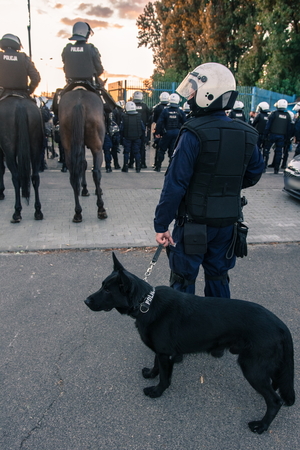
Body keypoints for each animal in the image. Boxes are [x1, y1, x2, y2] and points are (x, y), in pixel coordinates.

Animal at [58, 85, 107, 222]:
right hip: (97, 148)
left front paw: (84, 189)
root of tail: (79, 103)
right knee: (96, 173)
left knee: (73, 176)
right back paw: (101, 209)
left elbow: (83, 164)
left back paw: (77, 212)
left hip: (69, 148)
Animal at [85, 253, 296, 432]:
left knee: (275, 401)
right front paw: (151, 374)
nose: (86, 301)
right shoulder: (161, 352)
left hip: (252, 368)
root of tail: (281, 325)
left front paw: (157, 391)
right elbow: (156, 365)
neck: (146, 304)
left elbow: (165, 378)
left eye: (107, 290)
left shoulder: (165, 355)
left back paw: (262, 425)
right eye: (102, 285)